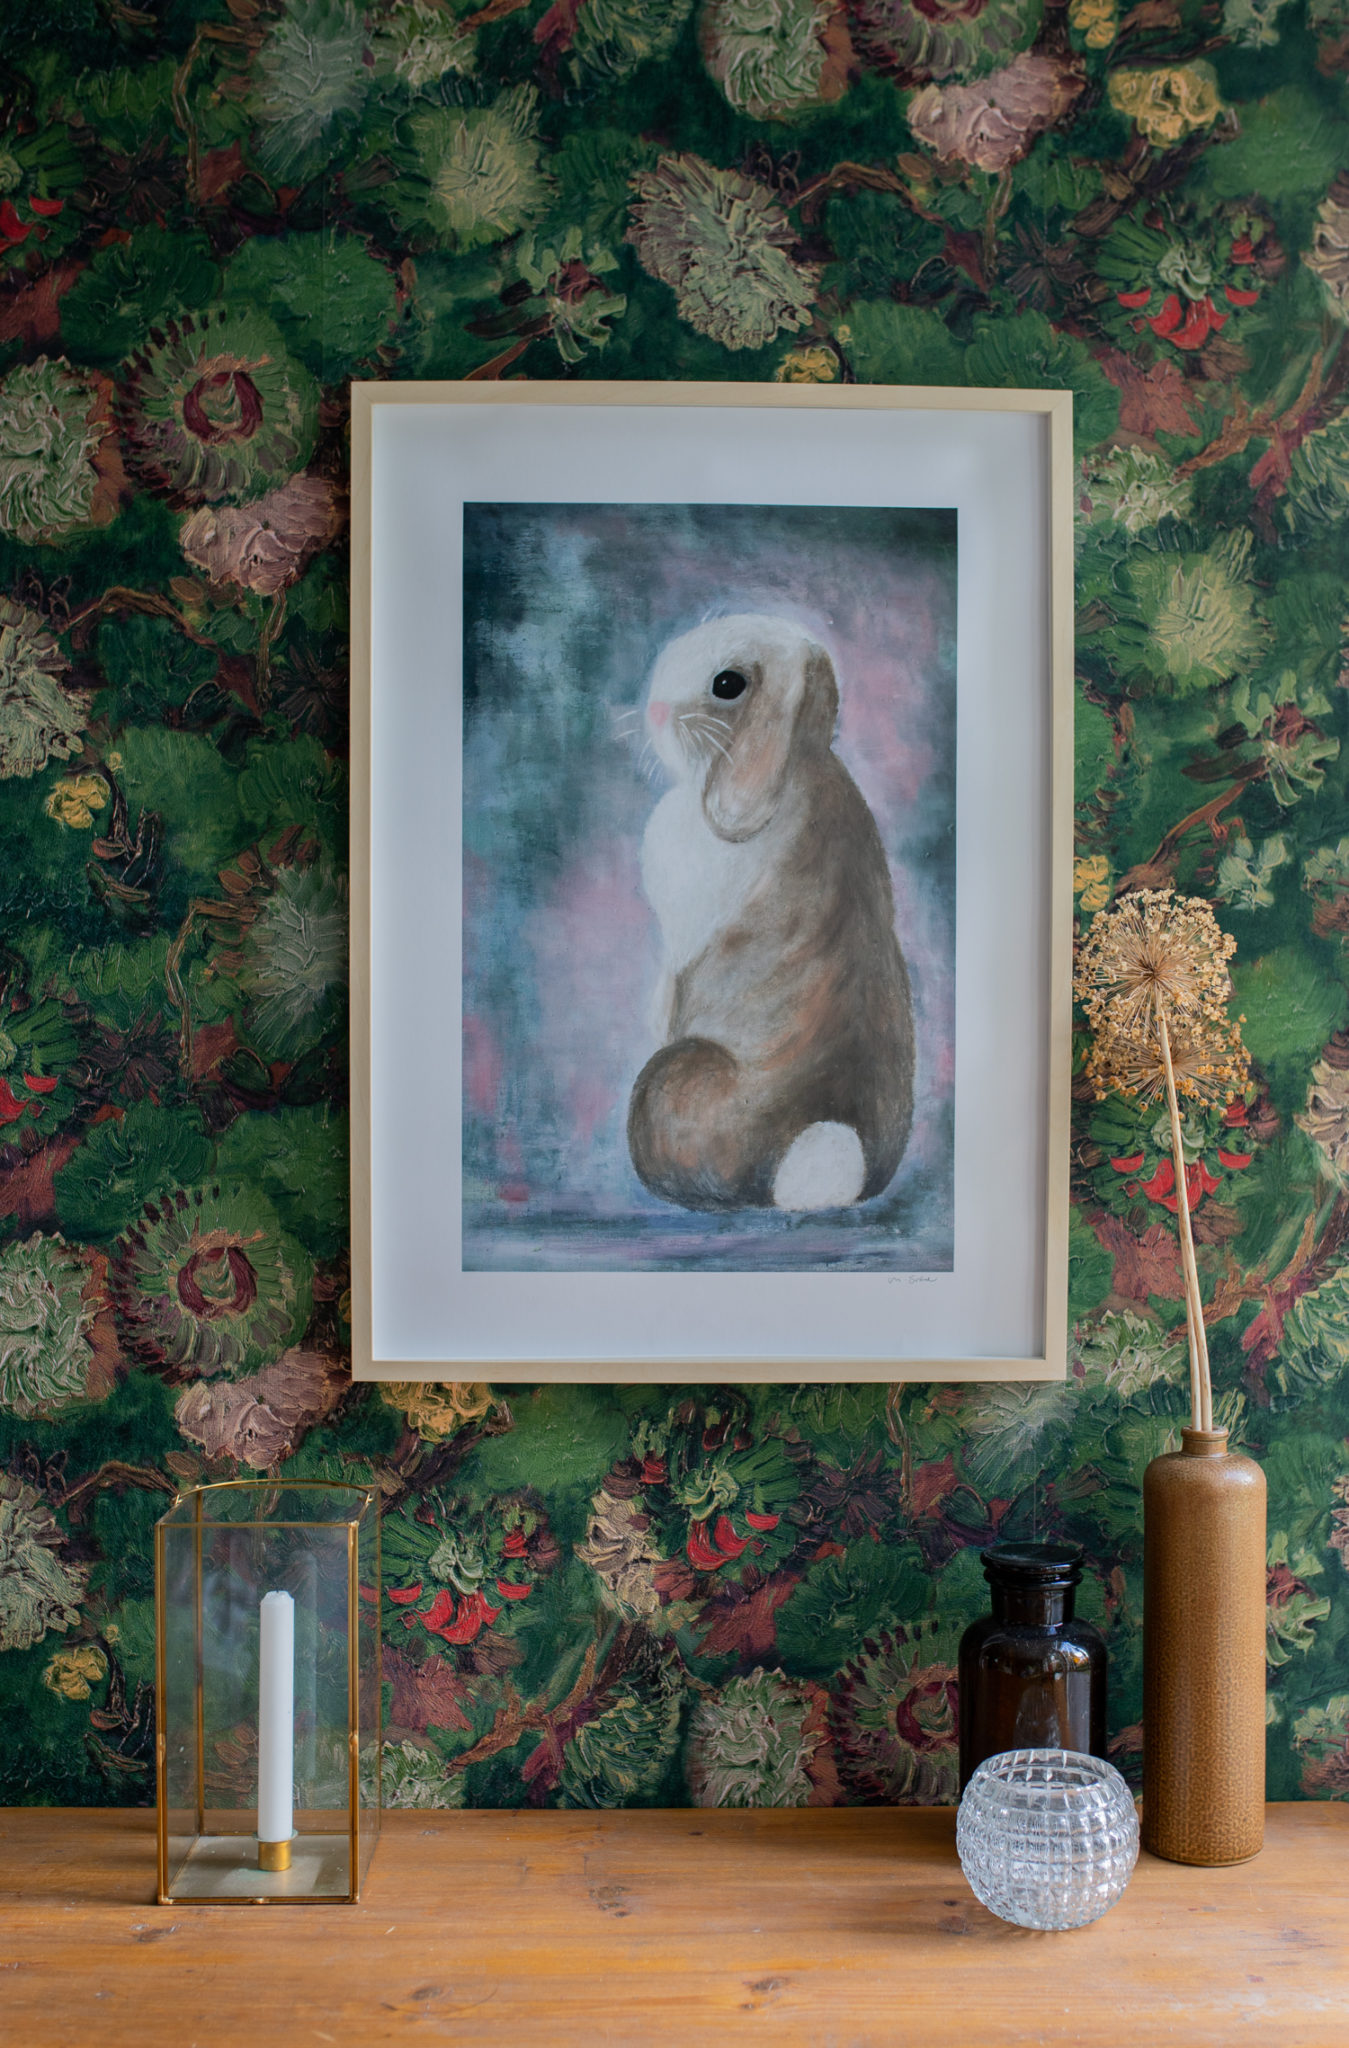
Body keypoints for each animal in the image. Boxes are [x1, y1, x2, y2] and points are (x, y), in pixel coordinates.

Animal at [627, 613, 914, 1213]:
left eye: (728, 684)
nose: (656, 710)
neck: (797, 764)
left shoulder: (682, 936)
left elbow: (672, 976)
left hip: (673, 1072)